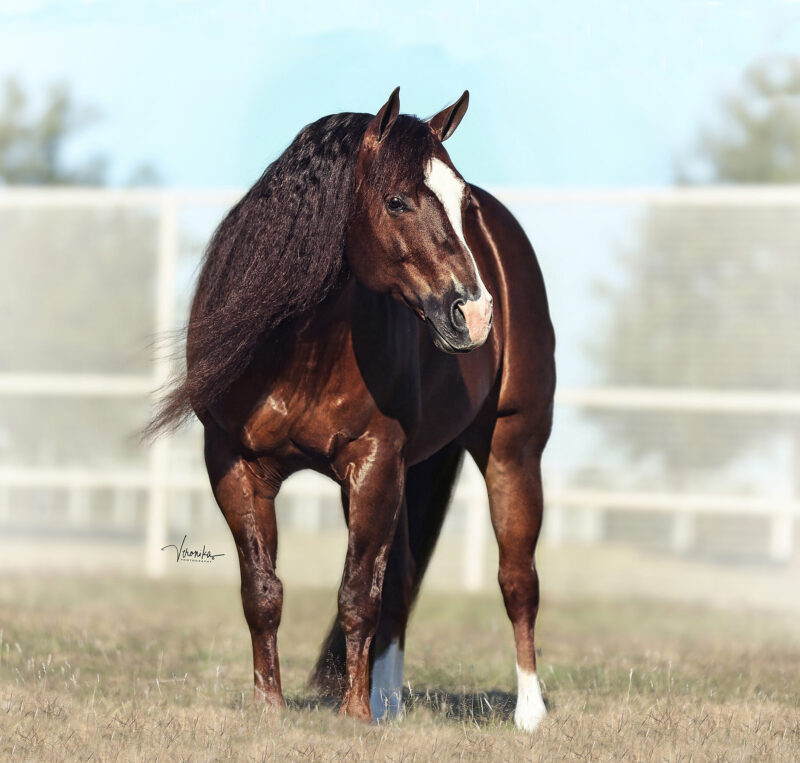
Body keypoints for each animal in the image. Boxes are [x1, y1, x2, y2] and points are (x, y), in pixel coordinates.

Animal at [151, 88, 555, 732]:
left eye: (460, 200)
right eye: (396, 200)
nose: (475, 314)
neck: (301, 348)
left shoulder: (373, 464)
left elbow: (357, 593)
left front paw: (353, 714)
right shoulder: (235, 466)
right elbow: (263, 591)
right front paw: (271, 706)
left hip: (512, 448)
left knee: (517, 579)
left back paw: (528, 713)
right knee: (405, 578)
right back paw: (390, 703)